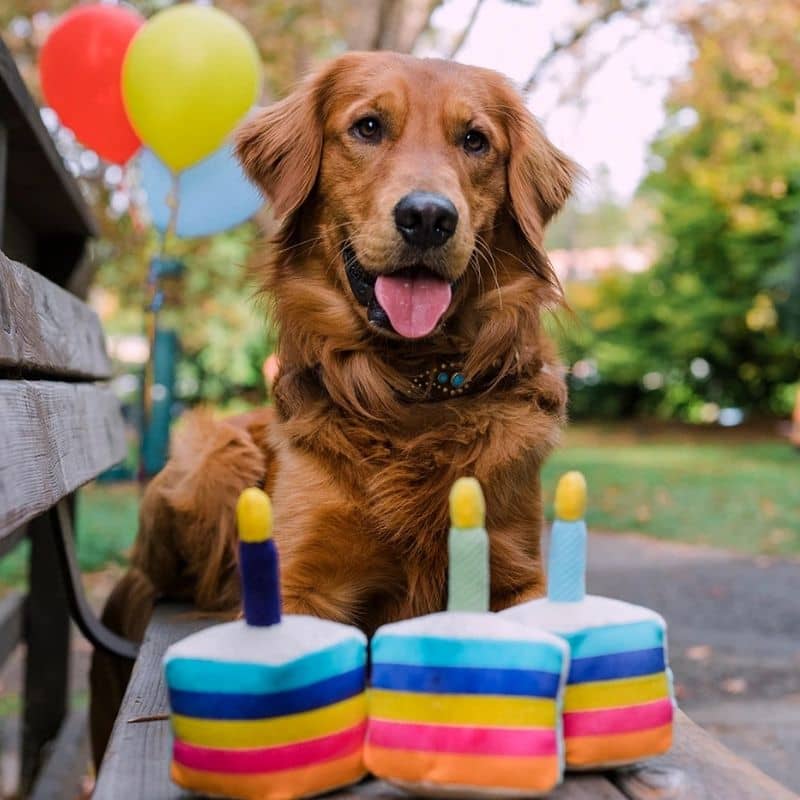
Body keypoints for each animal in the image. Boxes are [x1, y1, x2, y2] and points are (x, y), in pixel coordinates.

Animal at [89, 53, 576, 764]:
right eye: (368, 127)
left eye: (475, 141)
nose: (428, 217)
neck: (409, 390)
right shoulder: (300, 584)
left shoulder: (516, 572)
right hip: (213, 458)